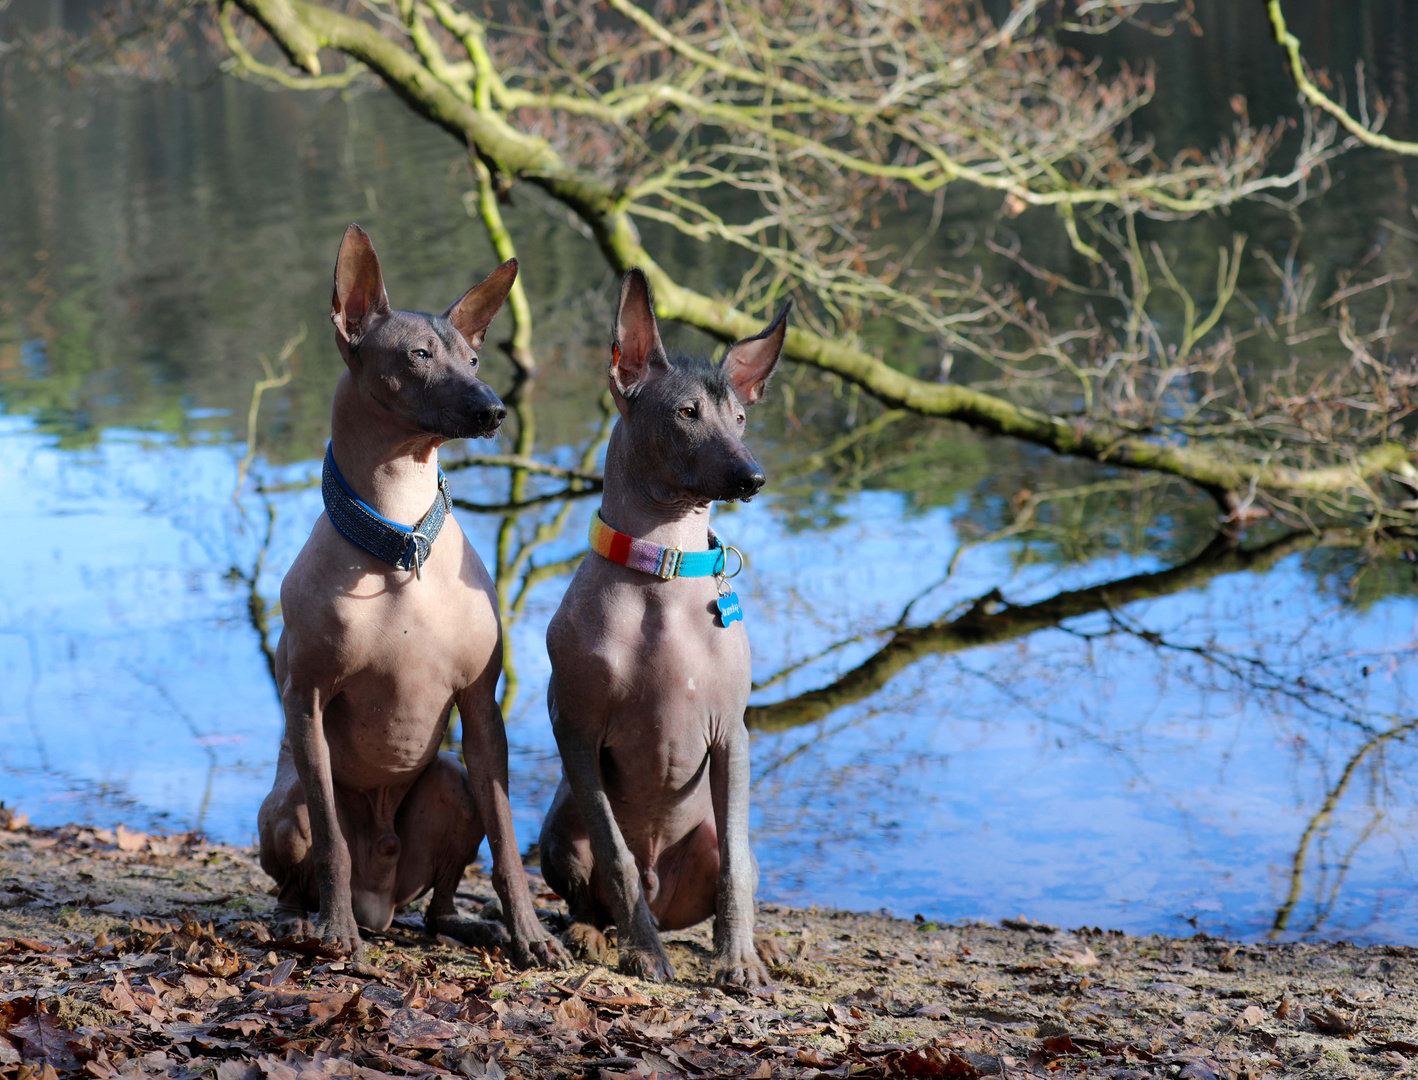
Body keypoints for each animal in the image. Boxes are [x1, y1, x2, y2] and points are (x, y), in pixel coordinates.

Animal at [258, 226, 567, 969]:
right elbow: (333, 845)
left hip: (452, 782)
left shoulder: (482, 710)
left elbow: (508, 847)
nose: (493, 407)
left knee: (438, 906)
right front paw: (333, 934)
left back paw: (475, 927)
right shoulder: (305, 702)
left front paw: (530, 934)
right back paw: (307, 919)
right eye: (418, 356)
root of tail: (383, 904)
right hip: (287, 804)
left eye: (474, 356)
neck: (400, 538)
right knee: (305, 866)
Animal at [538, 269, 794, 986]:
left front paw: (739, 959)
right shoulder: (574, 731)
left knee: (738, 866)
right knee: (598, 887)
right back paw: (595, 934)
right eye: (686, 413)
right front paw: (645, 952)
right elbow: (616, 857)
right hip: (558, 826)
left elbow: (734, 864)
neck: (664, 569)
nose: (753, 475)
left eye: (740, 418)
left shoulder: (733, 735)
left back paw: (759, 944)